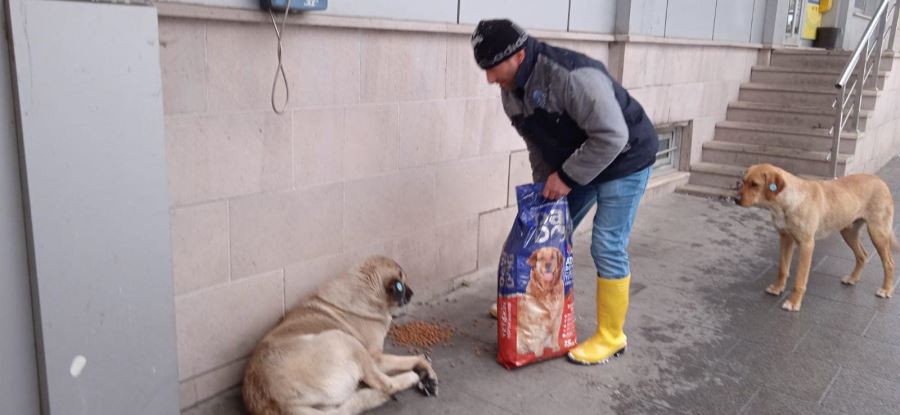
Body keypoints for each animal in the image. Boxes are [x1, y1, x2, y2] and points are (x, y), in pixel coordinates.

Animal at [239, 256, 436, 415]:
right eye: (403, 284)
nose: (412, 293)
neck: (365, 290)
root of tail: (276, 402)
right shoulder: (375, 357)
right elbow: (413, 359)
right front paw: (426, 371)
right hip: (344, 339)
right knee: (387, 384)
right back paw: (412, 377)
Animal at [740, 163, 892, 312]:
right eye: (743, 181)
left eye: (755, 184)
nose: (736, 199)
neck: (788, 202)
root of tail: (881, 181)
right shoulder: (785, 238)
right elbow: (782, 269)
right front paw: (778, 288)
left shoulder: (806, 245)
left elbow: (800, 280)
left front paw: (794, 302)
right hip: (848, 232)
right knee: (862, 255)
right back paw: (852, 278)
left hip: (877, 233)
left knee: (889, 263)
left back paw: (886, 289)